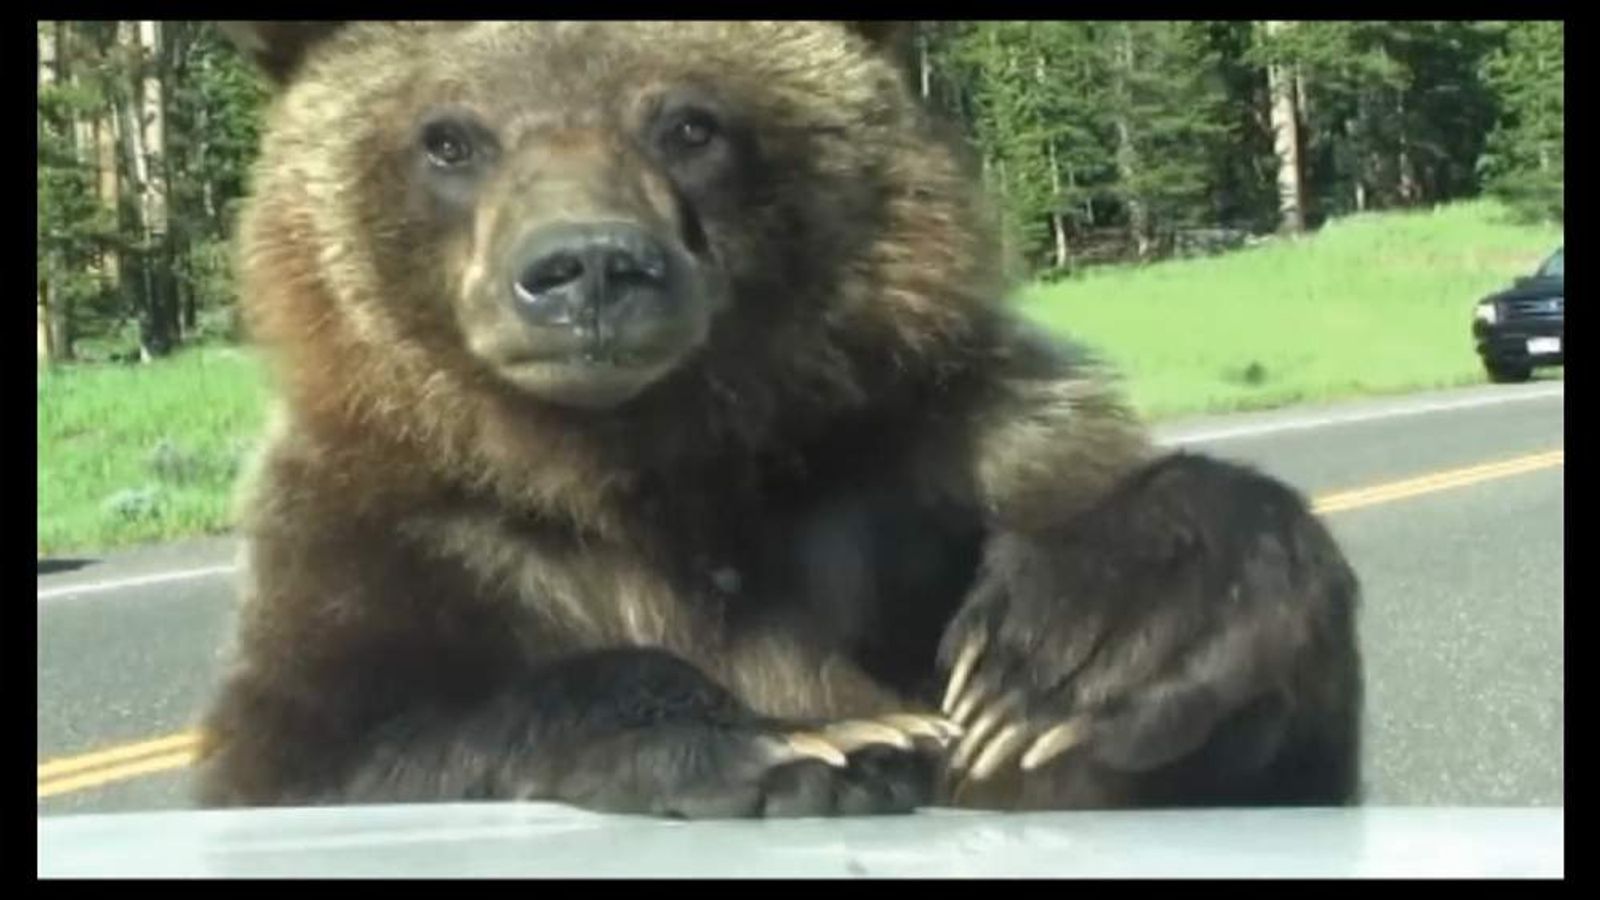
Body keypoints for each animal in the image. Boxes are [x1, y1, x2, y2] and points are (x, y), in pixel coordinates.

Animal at [200, 21, 1363, 813]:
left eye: (691, 122)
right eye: (448, 137)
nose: (590, 267)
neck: (652, 468)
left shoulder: (928, 473)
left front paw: (1069, 654)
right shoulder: (403, 537)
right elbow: (329, 755)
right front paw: (810, 745)